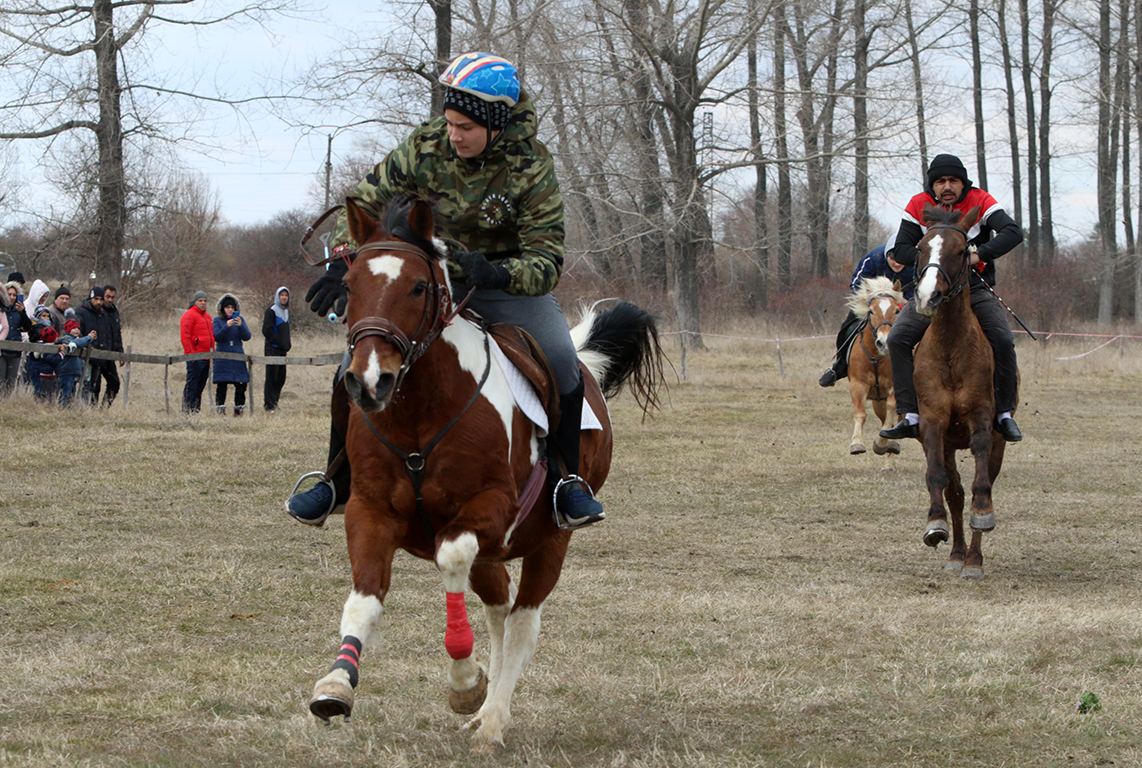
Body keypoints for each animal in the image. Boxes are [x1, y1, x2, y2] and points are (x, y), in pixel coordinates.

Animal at [308, 196, 666, 748]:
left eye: (419, 286)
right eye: (349, 283)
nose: (369, 381)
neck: (418, 412)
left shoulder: (490, 508)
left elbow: (450, 557)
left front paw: (464, 682)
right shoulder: (369, 511)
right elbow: (364, 602)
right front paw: (335, 686)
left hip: (549, 541)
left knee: (521, 622)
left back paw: (492, 719)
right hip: (494, 551)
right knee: (499, 611)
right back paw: (484, 708)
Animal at [840, 273, 899, 458]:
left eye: (897, 310)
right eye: (871, 310)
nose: (884, 342)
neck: (876, 356)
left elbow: (892, 409)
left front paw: (881, 443)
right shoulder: (858, 384)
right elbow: (860, 413)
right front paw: (857, 444)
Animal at [909, 200, 1009, 577]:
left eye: (961, 251)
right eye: (921, 248)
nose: (928, 296)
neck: (951, 346)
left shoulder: (981, 416)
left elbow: (982, 479)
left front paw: (983, 516)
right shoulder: (932, 422)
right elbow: (938, 478)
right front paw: (935, 525)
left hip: (998, 440)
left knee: (984, 481)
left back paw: (973, 559)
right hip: (948, 443)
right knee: (955, 492)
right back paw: (956, 554)